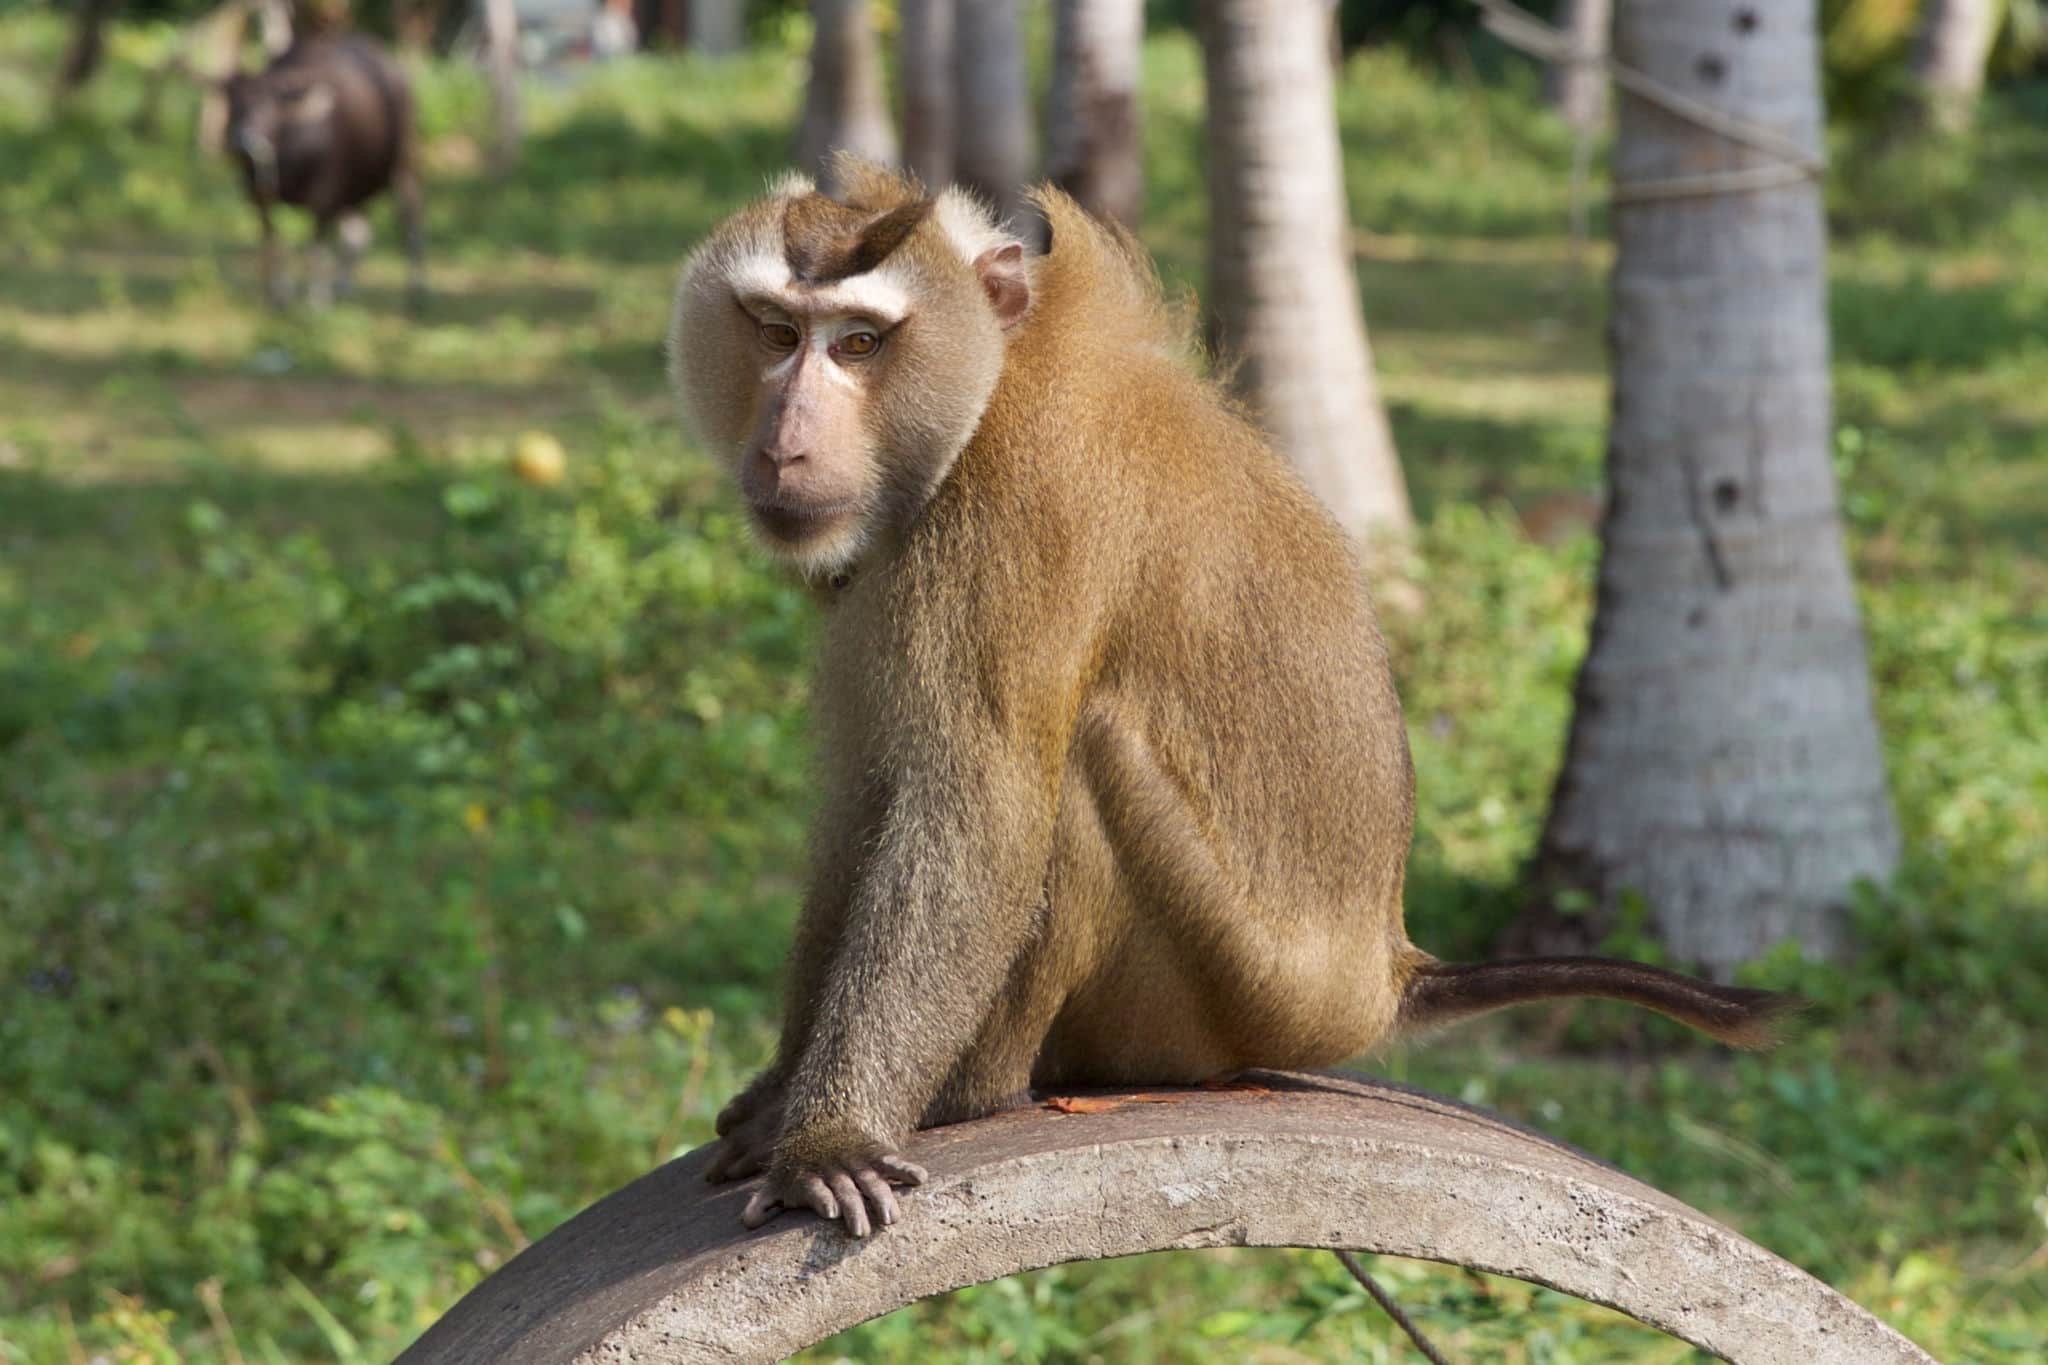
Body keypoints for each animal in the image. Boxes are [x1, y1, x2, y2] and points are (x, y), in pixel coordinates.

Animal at [664, 156, 1794, 1238]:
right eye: (776, 332)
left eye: (858, 344)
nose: (786, 440)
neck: (988, 386)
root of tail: (1381, 974)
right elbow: (863, 804)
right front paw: (784, 1096)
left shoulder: (1016, 514)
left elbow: (973, 812)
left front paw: (829, 1135)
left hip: (1225, 990)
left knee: (1078, 767)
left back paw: (971, 1092)